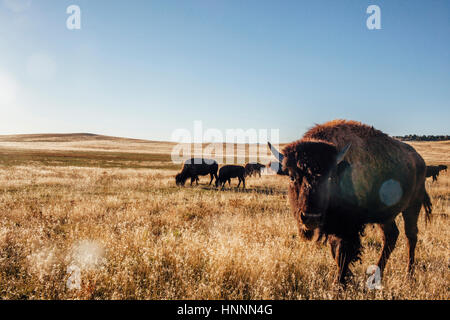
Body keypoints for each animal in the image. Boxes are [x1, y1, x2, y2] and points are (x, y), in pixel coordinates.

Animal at [268, 120, 430, 284]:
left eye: (329, 177)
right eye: (292, 177)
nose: (311, 217)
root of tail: (420, 160)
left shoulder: (349, 227)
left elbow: (343, 254)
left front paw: (339, 282)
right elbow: (336, 253)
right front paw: (347, 278)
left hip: (412, 206)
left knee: (410, 236)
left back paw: (408, 275)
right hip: (385, 216)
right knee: (391, 236)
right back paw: (375, 277)